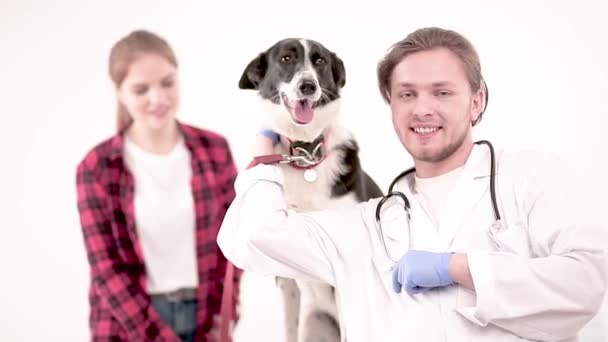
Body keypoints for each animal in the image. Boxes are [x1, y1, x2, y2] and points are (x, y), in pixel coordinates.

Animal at [236, 38, 380, 342]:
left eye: (320, 61)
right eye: (286, 58)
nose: (308, 86)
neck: (306, 156)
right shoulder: (285, 277)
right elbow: (287, 326)